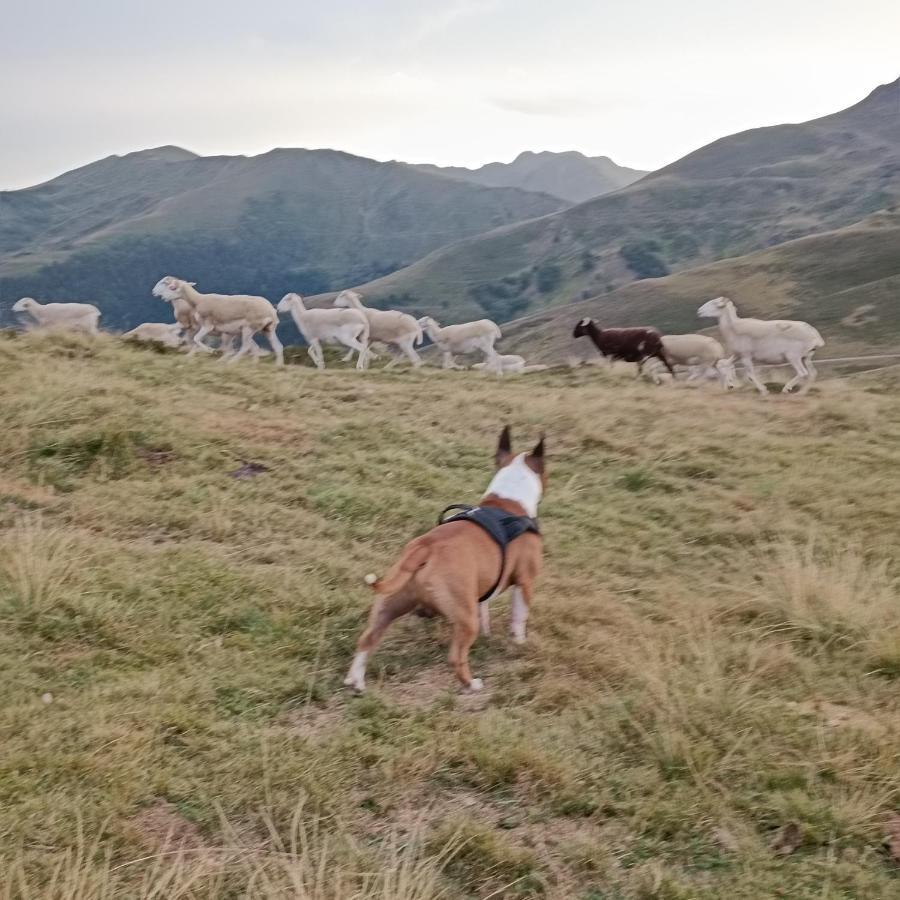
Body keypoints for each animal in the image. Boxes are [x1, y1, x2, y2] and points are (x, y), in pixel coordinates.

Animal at [151, 274, 284, 366]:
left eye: (172, 287)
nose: (162, 297)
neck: (198, 300)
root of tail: (271, 311)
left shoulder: (207, 325)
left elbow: (196, 339)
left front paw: (211, 351)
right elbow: (191, 340)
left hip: (248, 328)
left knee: (245, 347)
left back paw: (231, 362)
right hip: (267, 329)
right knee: (277, 346)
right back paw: (277, 366)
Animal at [342, 426, 540, 692]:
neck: (507, 503)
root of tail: (424, 548)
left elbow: (485, 611)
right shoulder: (525, 581)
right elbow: (519, 617)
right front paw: (518, 642)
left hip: (391, 603)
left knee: (367, 639)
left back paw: (356, 681)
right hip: (464, 618)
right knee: (456, 657)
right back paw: (472, 685)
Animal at [700, 298, 828, 396]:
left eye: (714, 303)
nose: (699, 311)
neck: (733, 327)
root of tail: (814, 335)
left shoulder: (746, 356)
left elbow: (750, 375)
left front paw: (764, 391)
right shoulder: (737, 355)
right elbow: (723, 364)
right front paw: (729, 384)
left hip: (793, 356)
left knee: (802, 373)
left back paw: (786, 389)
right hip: (806, 357)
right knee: (812, 374)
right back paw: (801, 393)